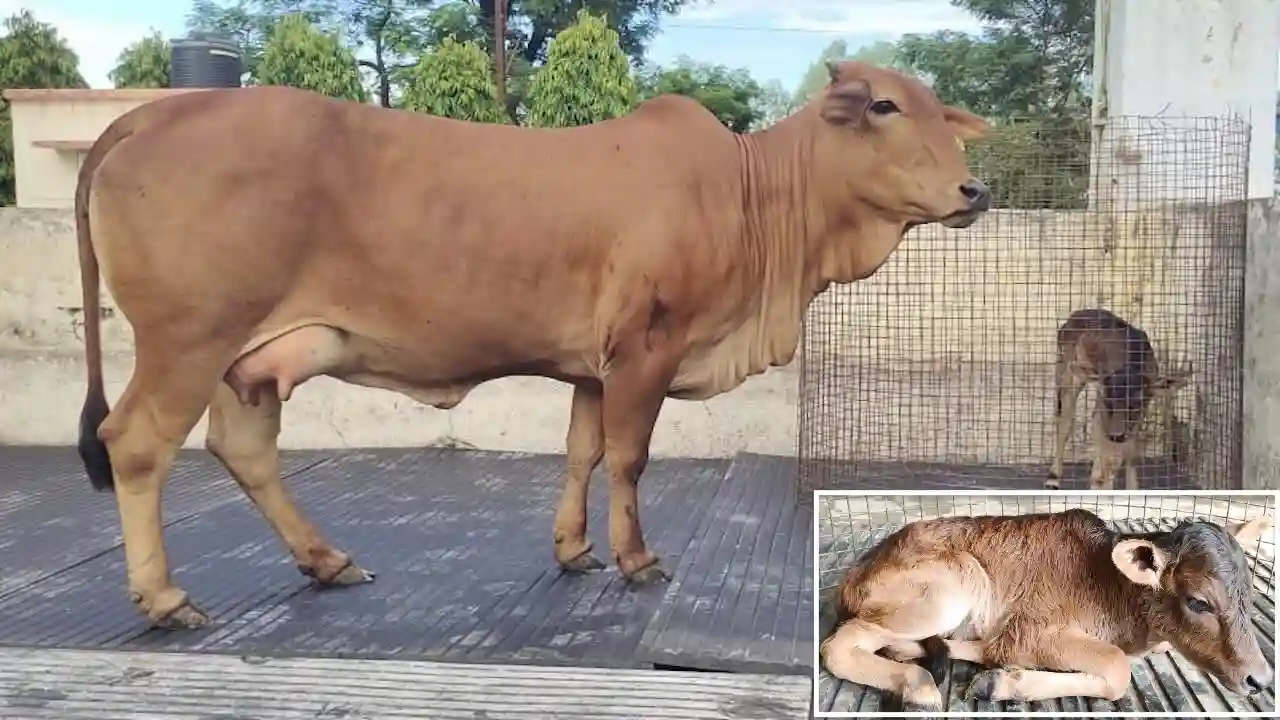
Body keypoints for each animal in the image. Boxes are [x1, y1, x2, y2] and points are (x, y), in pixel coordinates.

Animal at [73, 60, 992, 629]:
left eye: (941, 113)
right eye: (883, 106)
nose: (974, 189)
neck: (756, 200)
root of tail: (154, 111)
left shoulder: (594, 367)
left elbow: (584, 450)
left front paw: (574, 550)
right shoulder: (647, 350)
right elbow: (628, 458)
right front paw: (635, 557)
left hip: (249, 360)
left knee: (244, 448)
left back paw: (327, 561)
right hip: (188, 340)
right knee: (137, 444)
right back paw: (165, 598)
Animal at [819, 508, 1274, 711]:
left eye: (1248, 595)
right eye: (1198, 601)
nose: (1260, 680)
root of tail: (856, 571)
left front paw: (1000, 679)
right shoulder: (1033, 629)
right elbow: (1116, 669)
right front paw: (1001, 684)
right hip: (955, 583)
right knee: (839, 645)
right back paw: (920, 687)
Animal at [1046, 308, 1191, 491]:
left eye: (1136, 404)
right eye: (1108, 402)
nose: (1116, 435)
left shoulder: (1141, 411)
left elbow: (1130, 450)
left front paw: (1132, 487)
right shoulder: (1101, 408)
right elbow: (1109, 457)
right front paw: (1099, 484)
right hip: (1066, 371)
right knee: (1064, 421)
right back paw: (1053, 478)